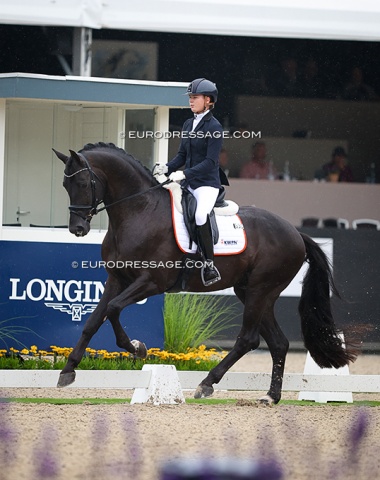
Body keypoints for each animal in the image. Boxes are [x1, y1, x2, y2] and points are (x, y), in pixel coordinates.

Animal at [53, 143, 360, 404]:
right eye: (65, 184)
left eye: (83, 183)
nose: (77, 229)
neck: (140, 212)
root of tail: (296, 233)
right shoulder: (117, 279)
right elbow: (94, 320)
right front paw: (68, 370)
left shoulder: (152, 282)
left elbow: (114, 309)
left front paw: (137, 348)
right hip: (251, 291)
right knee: (278, 343)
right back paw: (270, 396)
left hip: (261, 290)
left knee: (249, 339)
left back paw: (207, 383)